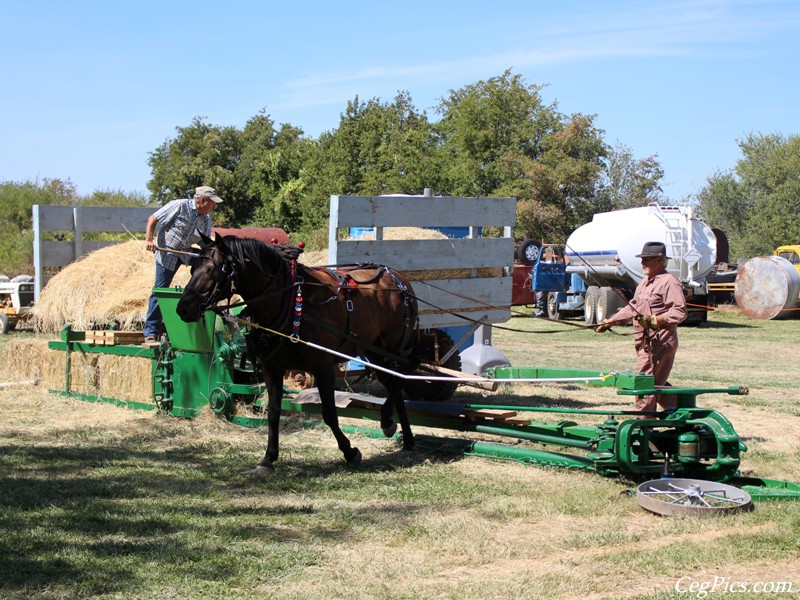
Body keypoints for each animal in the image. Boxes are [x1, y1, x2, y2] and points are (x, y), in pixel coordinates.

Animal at [175, 232, 422, 472]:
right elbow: (273, 412)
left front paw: (350, 451)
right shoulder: (272, 369)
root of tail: (400, 280)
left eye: (212, 269)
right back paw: (406, 438)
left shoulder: (323, 368)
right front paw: (268, 459)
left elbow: (329, 414)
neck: (288, 301)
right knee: (395, 385)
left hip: (390, 350)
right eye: (192, 268)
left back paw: (388, 423)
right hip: (375, 353)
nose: (182, 308)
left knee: (400, 381)